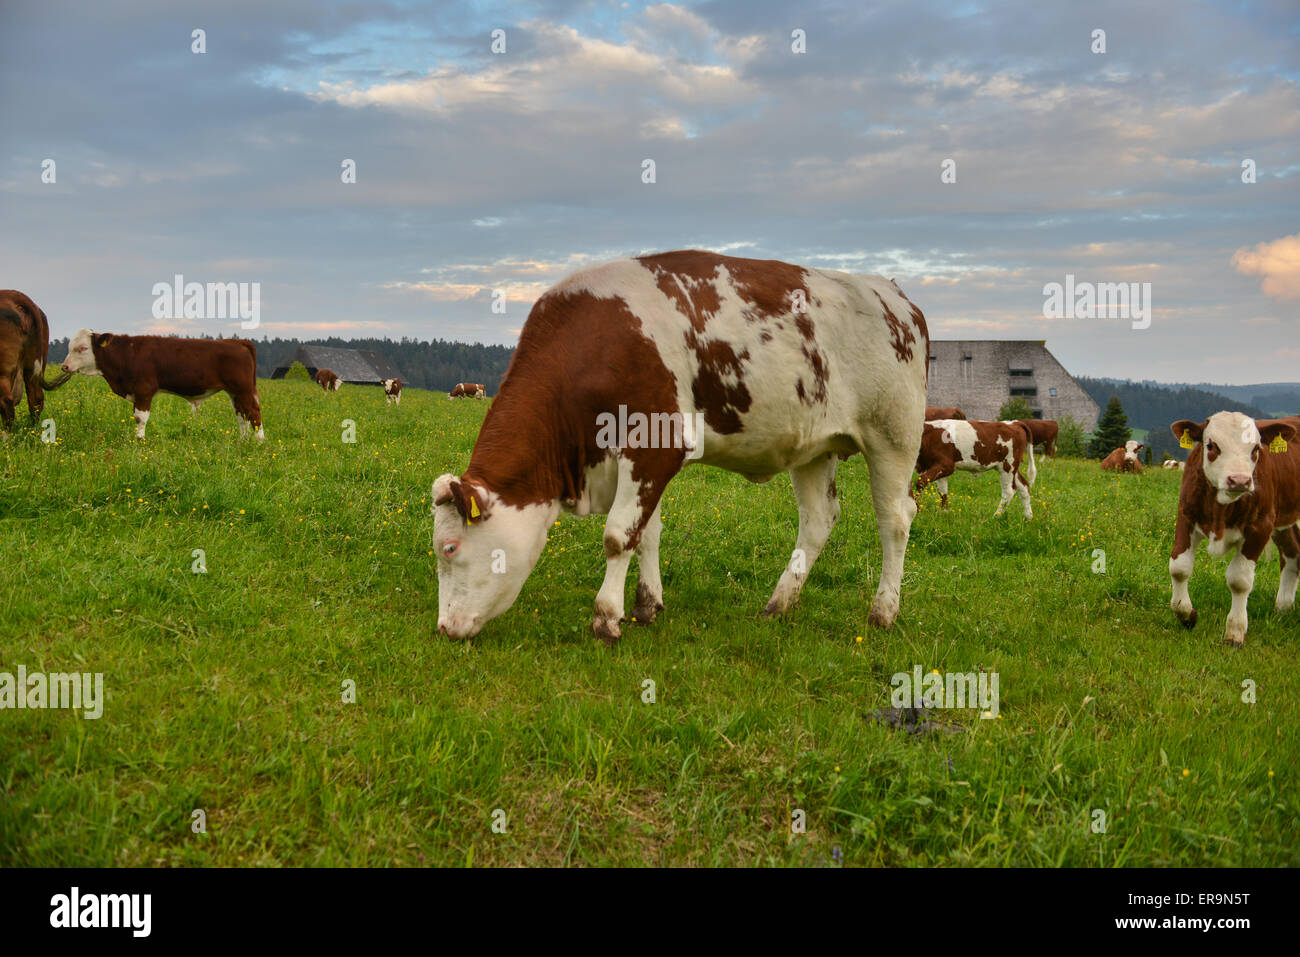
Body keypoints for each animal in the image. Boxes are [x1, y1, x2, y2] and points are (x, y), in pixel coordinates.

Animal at [60, 331, 264, 440]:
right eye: (70, 347)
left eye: (83, 348)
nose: (65, 366)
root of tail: (237, 342)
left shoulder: (144, 390)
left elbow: (140, 418)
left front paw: (139, 440)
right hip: (234, 392)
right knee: (241, 415)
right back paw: (243, 440)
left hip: (243, 389)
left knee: (254, 413)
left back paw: (259, 442)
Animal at [430, 249, 930, 644]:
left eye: (449, 548)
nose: (445, 628)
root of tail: (893, 294)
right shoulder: (640, 463)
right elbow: (647, 533)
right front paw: (647, 605)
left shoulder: (655, 444)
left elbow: (618, 535)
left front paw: (606, 618)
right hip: (814, 447)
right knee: (819, 519)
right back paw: (778, 604)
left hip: (894, 435)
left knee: (895, 519)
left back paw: (883, 611)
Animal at [1168, 413, 1300, 646]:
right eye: (1211, 445)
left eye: (1256, 448)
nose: (1240, 480)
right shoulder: (1186, 515)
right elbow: (1179, 567)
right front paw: (1186, 615)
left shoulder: (1261, 526)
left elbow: (1240, 580)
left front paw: (1235, 633)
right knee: (1292, 555)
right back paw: (1283, 608)